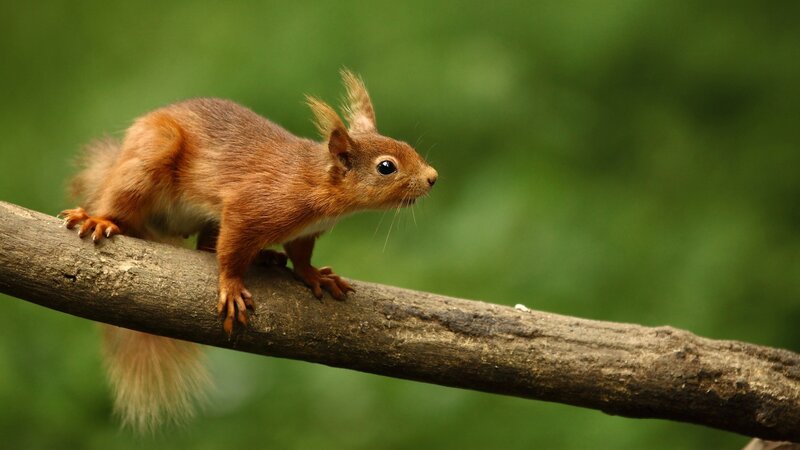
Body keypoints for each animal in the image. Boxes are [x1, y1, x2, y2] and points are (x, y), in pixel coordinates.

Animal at [59, 70, 438, 432]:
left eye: (405, 145)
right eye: (386, 167)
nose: (433, 177)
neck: (315, 183)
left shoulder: (305, 232)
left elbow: (300, 255)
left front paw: (315, 276)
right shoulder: (250, 207)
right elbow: (230, 252)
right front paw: (231, 287)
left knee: (205, 245)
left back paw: (265, 256)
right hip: (151, 156)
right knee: (124, 202)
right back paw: (98, 218)